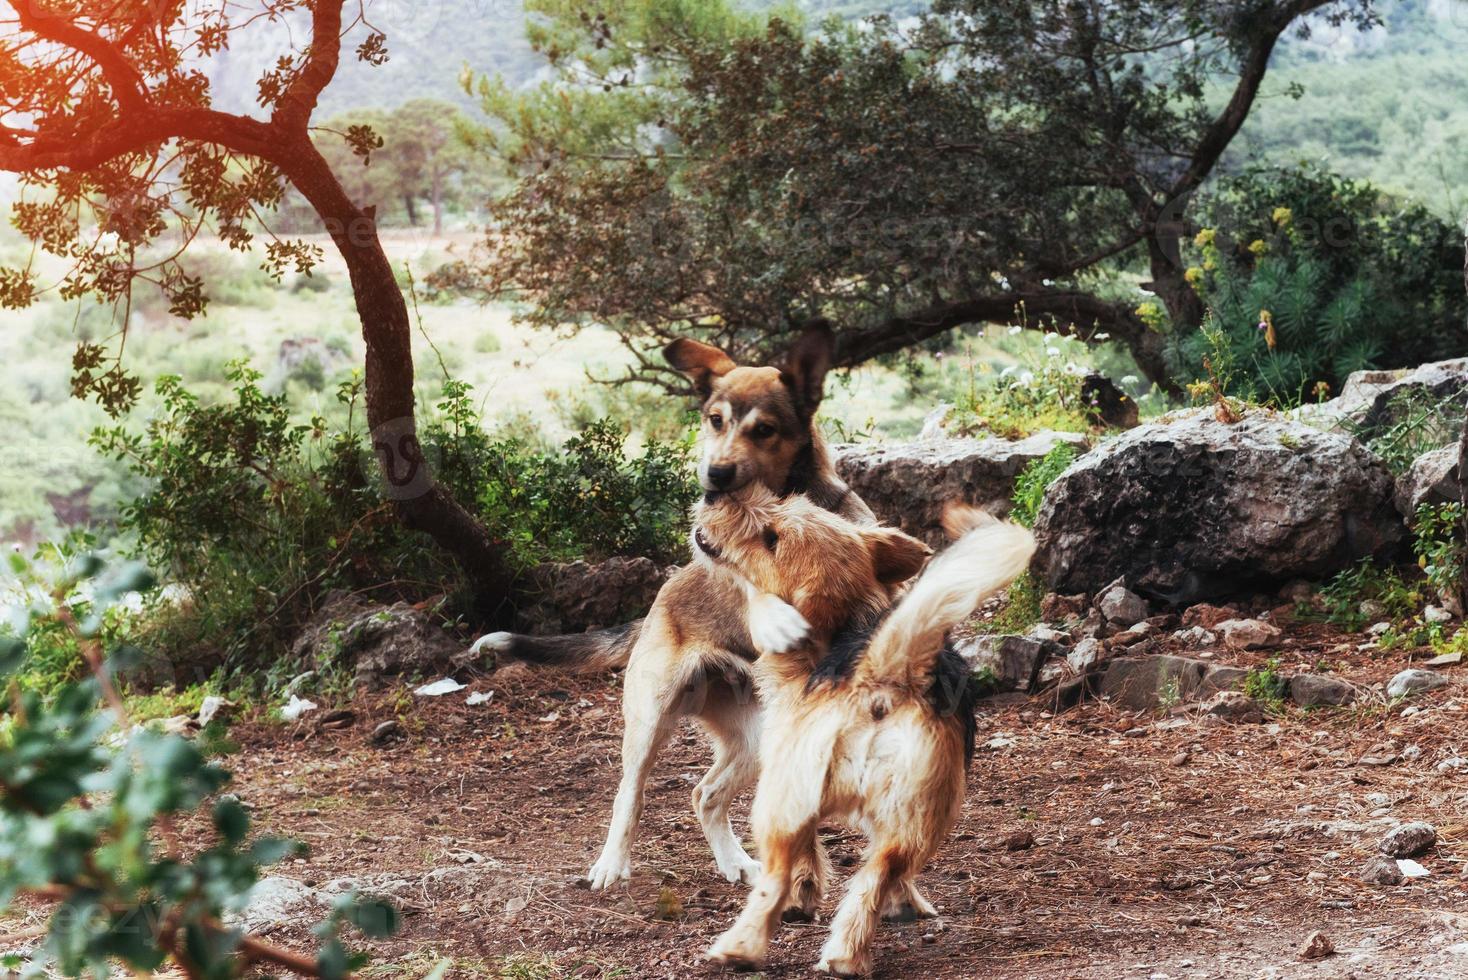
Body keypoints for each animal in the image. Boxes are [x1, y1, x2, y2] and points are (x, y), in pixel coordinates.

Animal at [689, 487, 1027, 974]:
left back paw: (740, 948)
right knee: (878, 873)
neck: (849, 623)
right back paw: (846, 953)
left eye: (771, 538)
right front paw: (907, 903)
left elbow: (809, 851)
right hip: (919, 816)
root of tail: (882, 673)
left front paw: (804, 894)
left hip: (776, 805)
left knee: (775, 877)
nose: (716, 494)